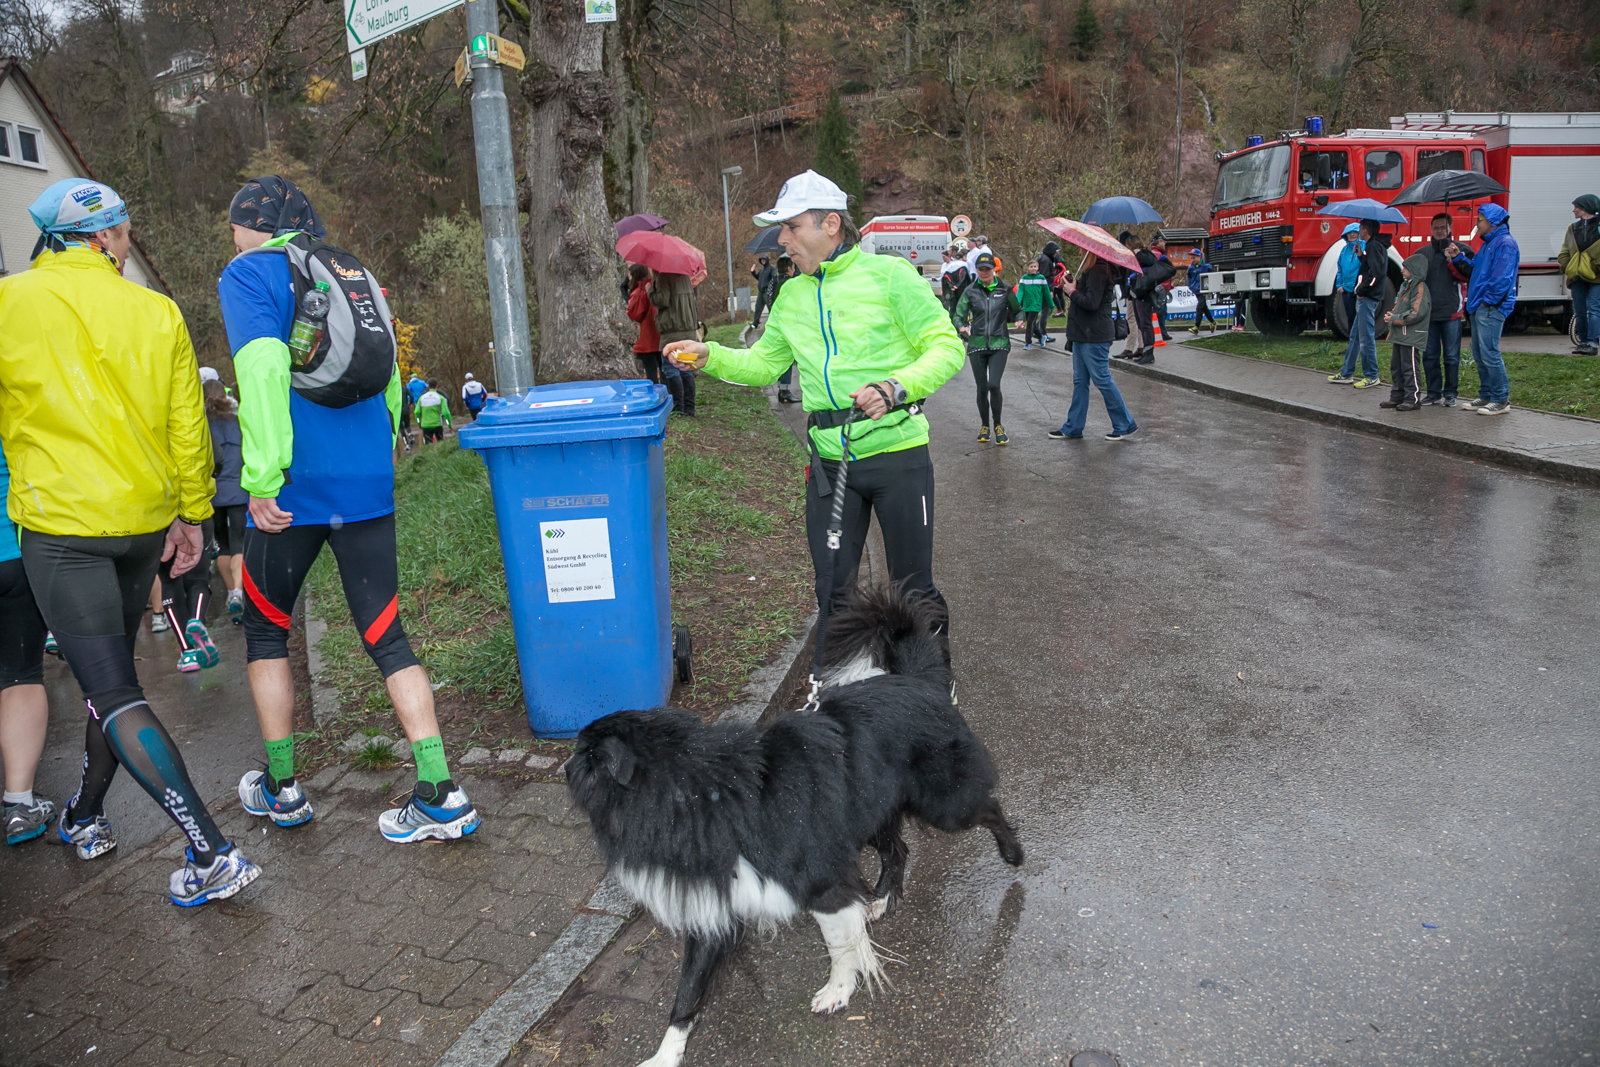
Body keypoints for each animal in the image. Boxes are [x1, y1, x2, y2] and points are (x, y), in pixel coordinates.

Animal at [565, 584, 1024, 1067]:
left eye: (581, 753)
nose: (563, 764)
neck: (699, 791)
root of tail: (919, 680)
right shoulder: (719, 906)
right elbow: (687, 993)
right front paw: (666, 1054)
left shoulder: (823, 883)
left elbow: (842, 945)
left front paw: (839, 990)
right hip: (868, 811)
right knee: (898, 850)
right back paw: (881, 900)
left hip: (943, 804)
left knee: (989, 807)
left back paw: (1013, 854)